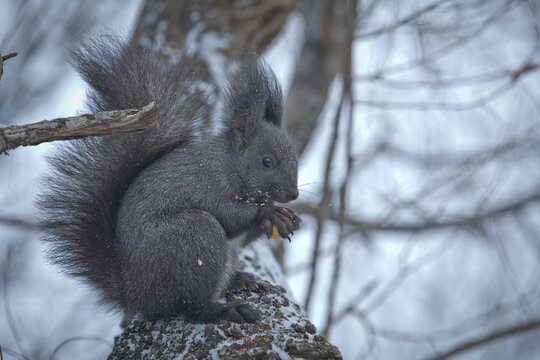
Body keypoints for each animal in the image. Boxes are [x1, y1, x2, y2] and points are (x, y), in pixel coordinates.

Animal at [37, 36, 300, 324]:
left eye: (295, 155)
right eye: (267, 161)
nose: (293, 194)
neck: (231, 165)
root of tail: (138, 296)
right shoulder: (208, 183)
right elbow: (229, 214)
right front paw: (269, 213)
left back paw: (237, 280)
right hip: (195, 235)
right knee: (191, 306)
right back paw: (227, 309)